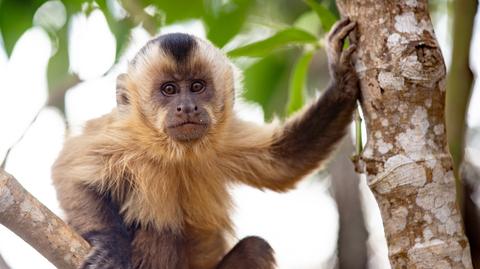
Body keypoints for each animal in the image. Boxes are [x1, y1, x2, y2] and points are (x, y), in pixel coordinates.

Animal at [52, 18, 360, 268]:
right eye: (169, 89)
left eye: (197, 86)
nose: (187, 107)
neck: (177, 152)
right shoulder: (123, 135)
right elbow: (70, 174)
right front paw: (110, 244)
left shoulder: (225, 138)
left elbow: (283, 163)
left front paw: (341, 80)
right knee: (160, 230)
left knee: (256, 247)